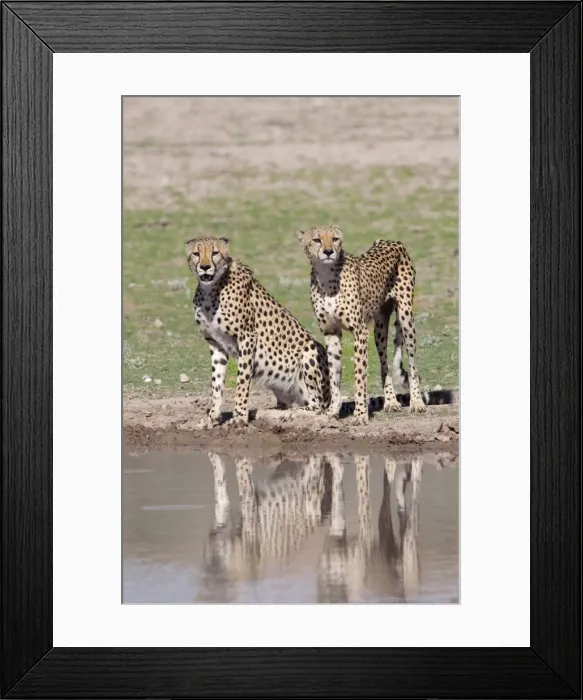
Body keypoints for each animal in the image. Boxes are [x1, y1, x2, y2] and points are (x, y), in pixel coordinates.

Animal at [186, 236, 331, 427]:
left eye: (215, 253)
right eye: (196, 253)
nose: (204, 266)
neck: (211, 289)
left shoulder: (247, 337)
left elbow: (242, 381)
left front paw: (239, 417)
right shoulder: (215, 343)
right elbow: (216, 384)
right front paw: (213, 418)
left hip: (311, 351)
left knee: (316, 406)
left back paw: (288, 415)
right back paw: (268, 413)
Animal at [296, 224, 426, 425]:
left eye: (335, 239)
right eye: (317, 240)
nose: (328, 252)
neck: (326, 276)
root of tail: (389, 240)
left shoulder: (360, 331)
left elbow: (359, 376)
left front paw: (360, 415)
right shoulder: (331, 333)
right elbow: (334, 375)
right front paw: (332, 411)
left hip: (406, 317)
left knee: (412, 364)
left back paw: (417, 402)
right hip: (380, 327)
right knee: (384, 364)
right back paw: (391, 402)